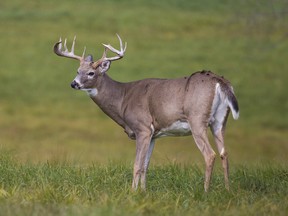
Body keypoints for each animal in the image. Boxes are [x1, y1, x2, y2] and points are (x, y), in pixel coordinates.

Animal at [53, 34, 238, 192]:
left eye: (91, 73)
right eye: (77, 70)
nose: (73, 83)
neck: (123, 99)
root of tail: (220, 82)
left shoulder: (142, 127)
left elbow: (136, 164)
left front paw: (132, 192)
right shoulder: (153, 134)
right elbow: (145, 165)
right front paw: (143, 191)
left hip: (197, 119)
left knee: (210, 154)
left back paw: (205, 191)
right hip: (220, 121)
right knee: (224, 153)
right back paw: (228, 190)